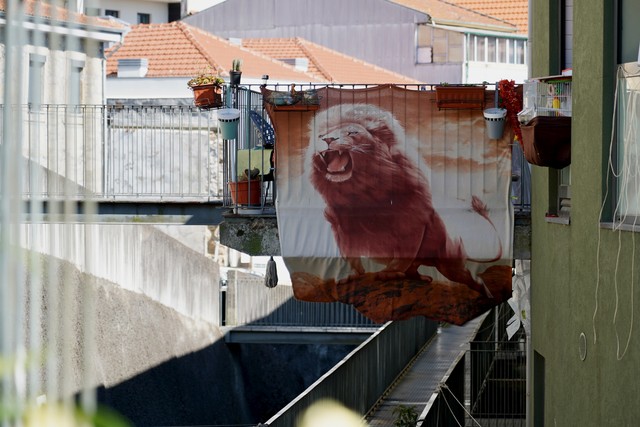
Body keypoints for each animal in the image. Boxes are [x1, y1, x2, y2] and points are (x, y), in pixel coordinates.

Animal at [306, 103, 499, 297]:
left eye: (352, 132)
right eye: (321, 135)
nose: (327, 139)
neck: (361, 193)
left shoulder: (412, 223)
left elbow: (403, 254)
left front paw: (389, 273)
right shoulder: (341, 227)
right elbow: (350, 255)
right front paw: (353, 275)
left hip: (449, 263)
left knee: (470, 278)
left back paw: (486, 293)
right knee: (414, 269)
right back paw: (422, 278)